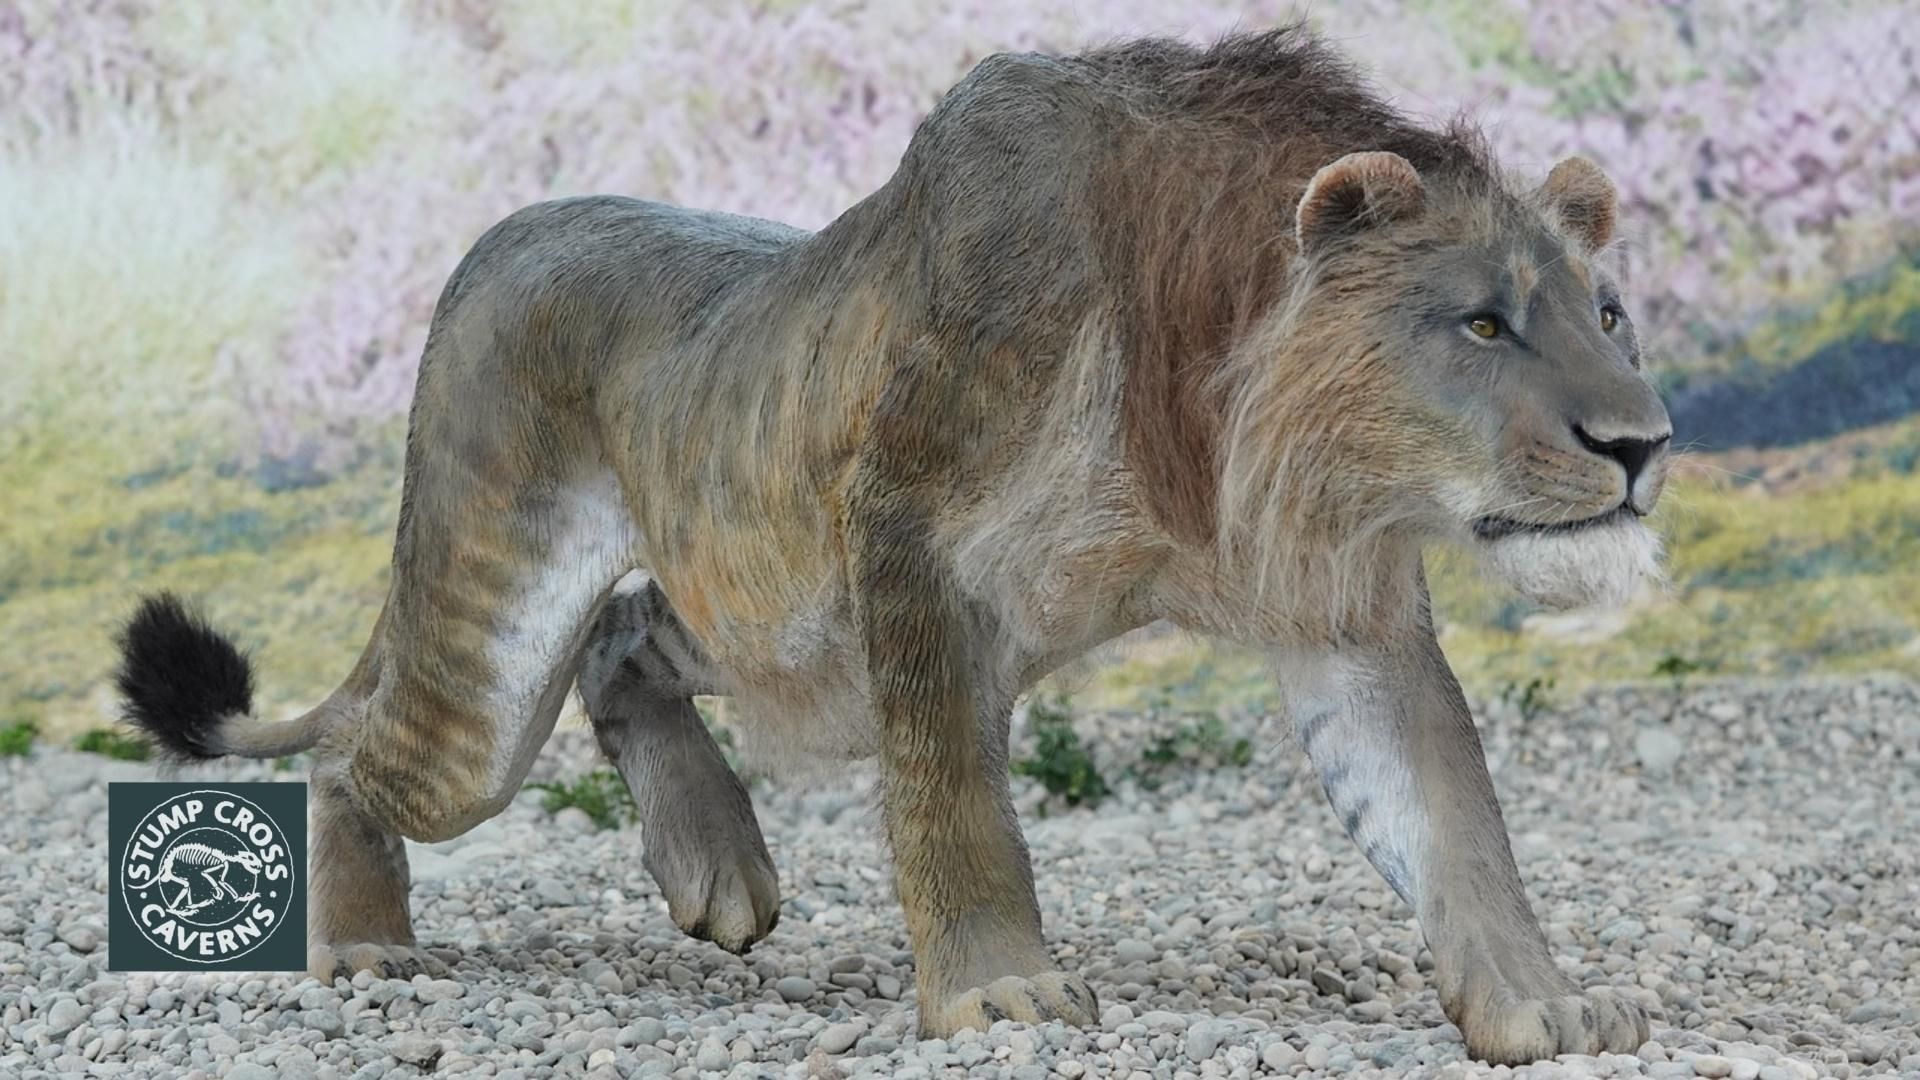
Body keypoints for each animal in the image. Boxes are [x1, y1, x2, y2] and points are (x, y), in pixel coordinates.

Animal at [113, 27, 1672, 1064]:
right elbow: (955, 797)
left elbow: (1449, 815)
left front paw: (1542, 1005)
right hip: (501, 653)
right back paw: (360, 944)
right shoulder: (906, 529)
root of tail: (495, 238)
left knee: (626, 636)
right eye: (1481, 322)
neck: (1207, 384)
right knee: (358, 753)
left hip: (787, 626)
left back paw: (715, 869)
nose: (1644, 445)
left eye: (1609, 313)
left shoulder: (1342, 604)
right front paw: (1001, 998)